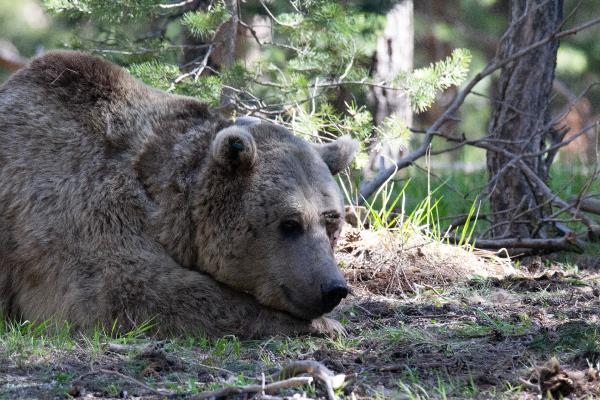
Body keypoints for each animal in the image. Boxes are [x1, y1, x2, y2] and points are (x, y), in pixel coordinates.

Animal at [0, 50, 356, 338]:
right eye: (290, 223)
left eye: (332, 223)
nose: (332, 288)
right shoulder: (73, 208)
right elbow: (126, 293)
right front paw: (324, 325)